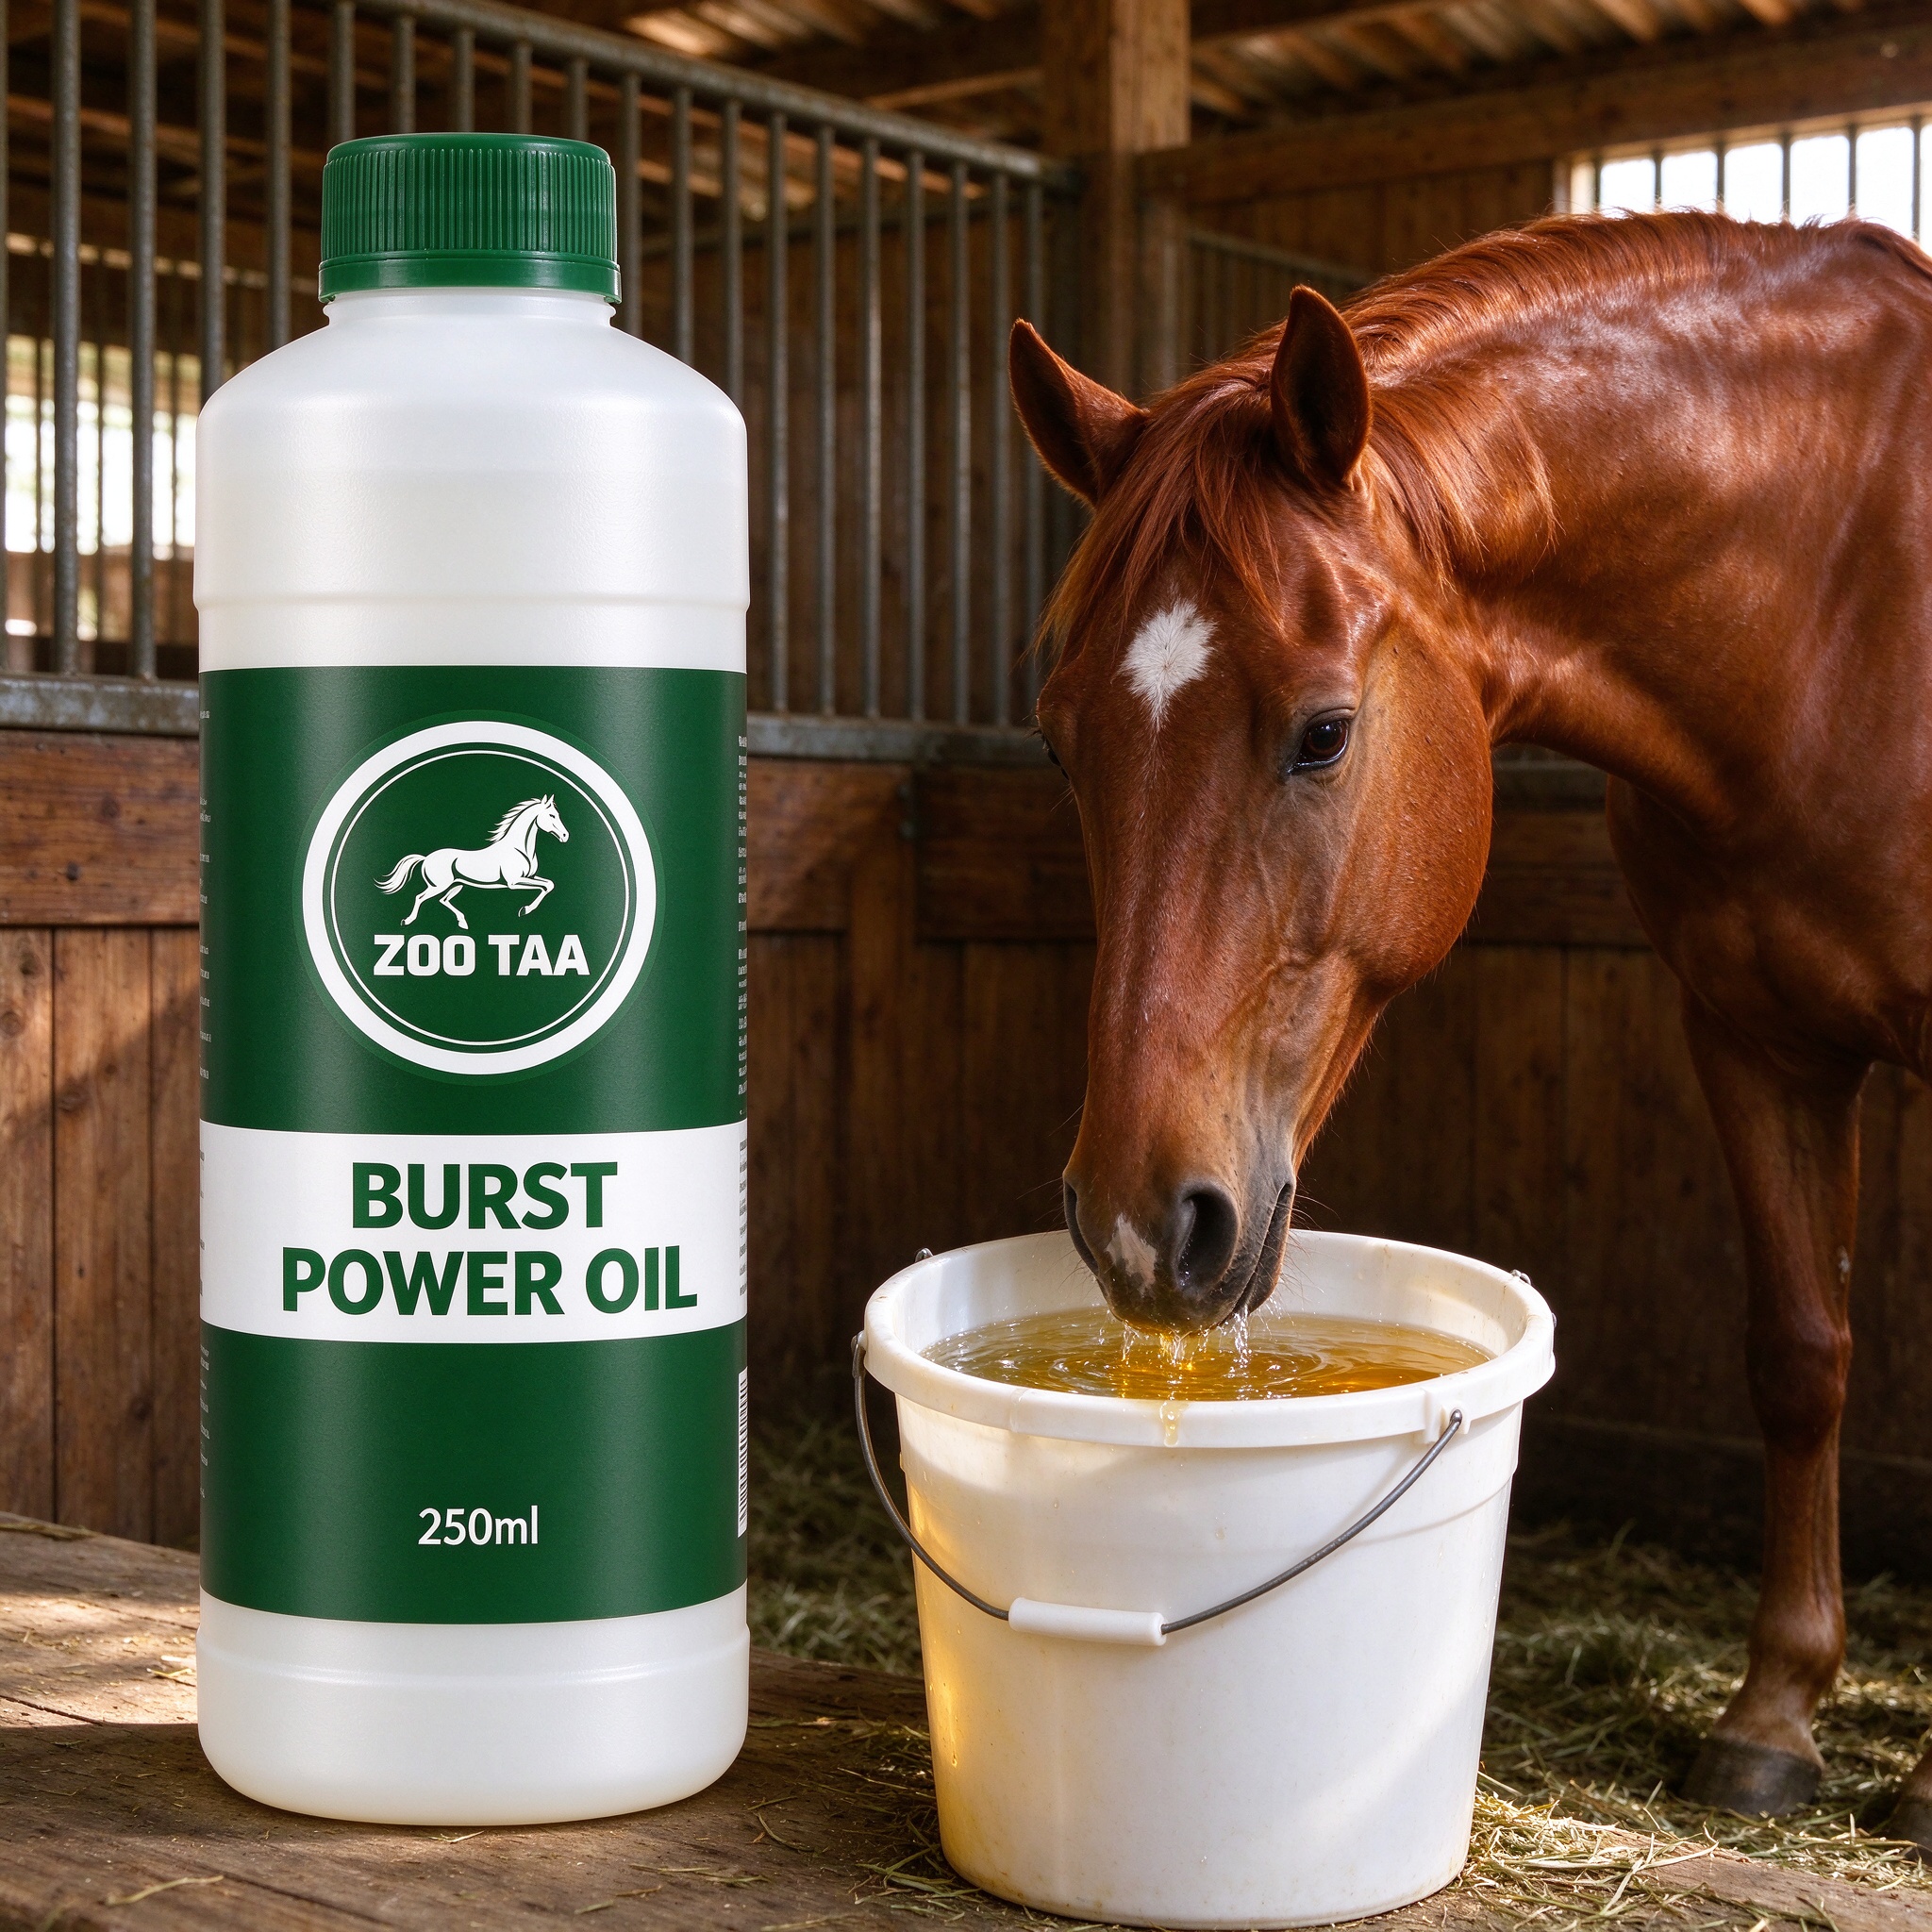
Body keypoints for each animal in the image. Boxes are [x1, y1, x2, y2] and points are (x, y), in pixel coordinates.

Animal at [374, 794, 569, 930]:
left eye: (558, 814)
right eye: (552, 815)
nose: (566, 836)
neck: (519, 849)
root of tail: (426, 857)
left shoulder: (532, 877)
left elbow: (549, 885)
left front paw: (525, 910)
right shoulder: (513, 883)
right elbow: (545, 886)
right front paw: (525, 910)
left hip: (457, 885)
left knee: (443, 900)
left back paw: (463, 922)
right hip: (438, 886)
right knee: (420, 897)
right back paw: (407, 921)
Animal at [1009, 209, 1932, 1839]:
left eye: (1326, 732)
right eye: (1064, 740)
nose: (1137, 1226)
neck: (1838, 610)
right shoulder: (1754, 1038)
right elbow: (1800, 1353)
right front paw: (1773, 1714)